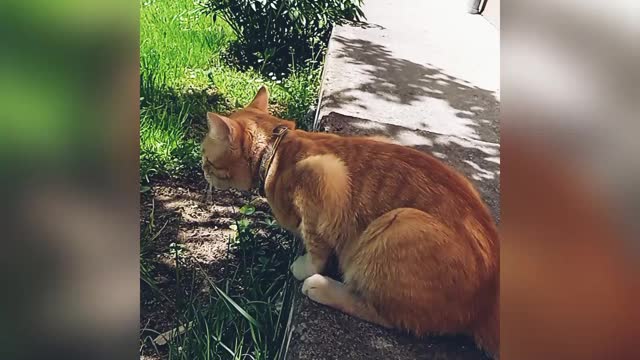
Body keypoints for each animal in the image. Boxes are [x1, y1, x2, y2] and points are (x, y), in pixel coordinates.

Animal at [202, 87, 498, 354]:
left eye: (205, 157)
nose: (201, 168)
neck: (274, 153)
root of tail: (489, 299)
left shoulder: (323, 177)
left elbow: (316, 244)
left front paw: (306, 266)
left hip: (399, 226)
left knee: (390, 315)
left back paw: (322, 286)